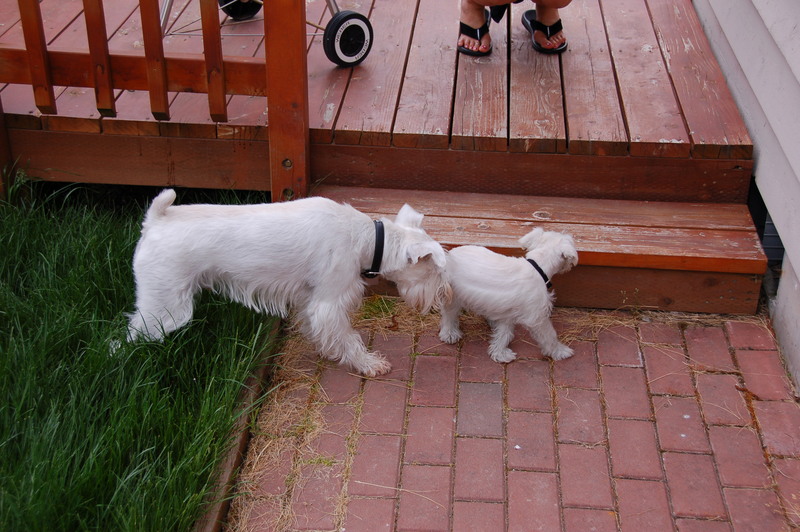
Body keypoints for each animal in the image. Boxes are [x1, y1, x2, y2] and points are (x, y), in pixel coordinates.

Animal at [126, 189, 448, 377]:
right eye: (436, 271)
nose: (442, 298)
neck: (368, 239)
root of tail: (155, 220)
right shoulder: (329, 303)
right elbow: (348, 337)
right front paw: (368, 363)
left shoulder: (311, 298)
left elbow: (321, 329)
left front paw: (328, 349)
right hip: (165, 306)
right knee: (130, 337)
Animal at [438, 227, 578, 363]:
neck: (538, 267)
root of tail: (448, 256)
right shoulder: (537, 317)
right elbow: (550, 335)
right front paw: (560, 351)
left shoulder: (508, 313)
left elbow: (504, 333)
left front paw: (499, 353)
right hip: (454, 297)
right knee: (448, 315)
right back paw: (449, 334)